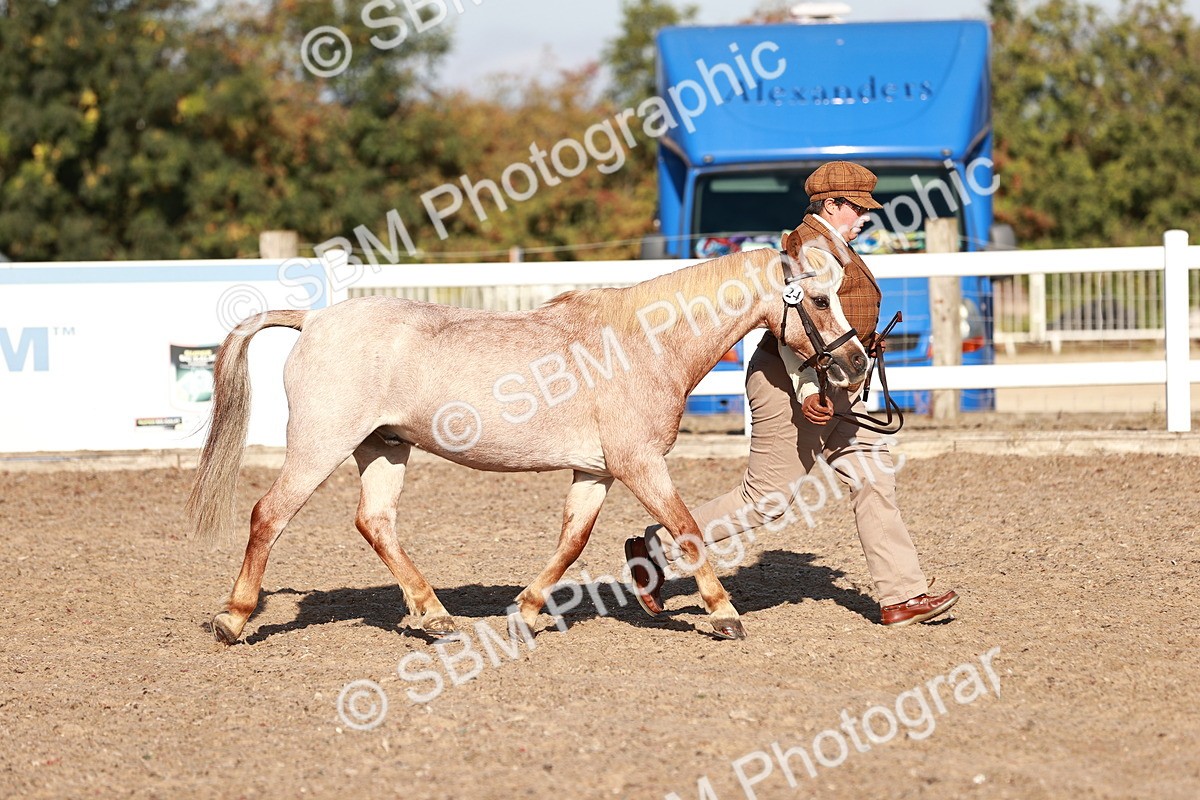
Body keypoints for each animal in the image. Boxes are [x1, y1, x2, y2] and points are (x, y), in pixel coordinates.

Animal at [186, 244, 868, 643]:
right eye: (819, 297)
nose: (856, 363)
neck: (641, 344)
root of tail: (314, 320)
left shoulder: (599, 471)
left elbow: (573, 541)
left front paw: (527, 611)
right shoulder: (639, 463)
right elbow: (686, 527)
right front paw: (724, 614)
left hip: (384, 446)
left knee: (374, 521)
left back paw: (434, 616)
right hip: (320, 445)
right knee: (268, 515)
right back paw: (233, 619)